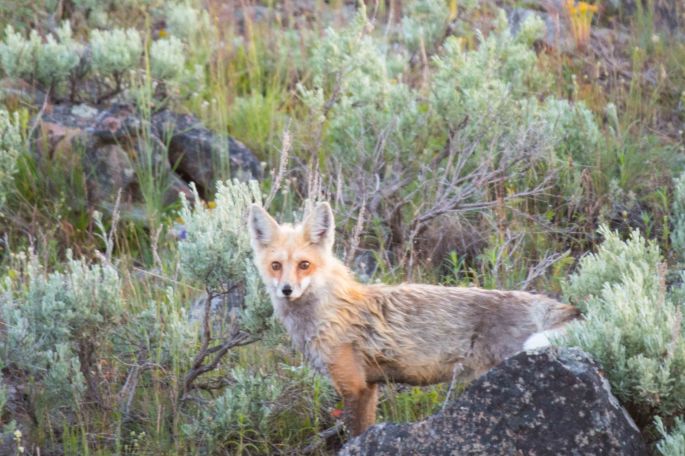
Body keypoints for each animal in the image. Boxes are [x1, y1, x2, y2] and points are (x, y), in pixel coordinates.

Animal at [247, 202, 580, 436]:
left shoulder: (353, 387)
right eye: (276, 265)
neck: (327, 313)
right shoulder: (370, 387)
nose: (286, 290)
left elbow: (355, 435)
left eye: (304, 264)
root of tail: (549, 302)